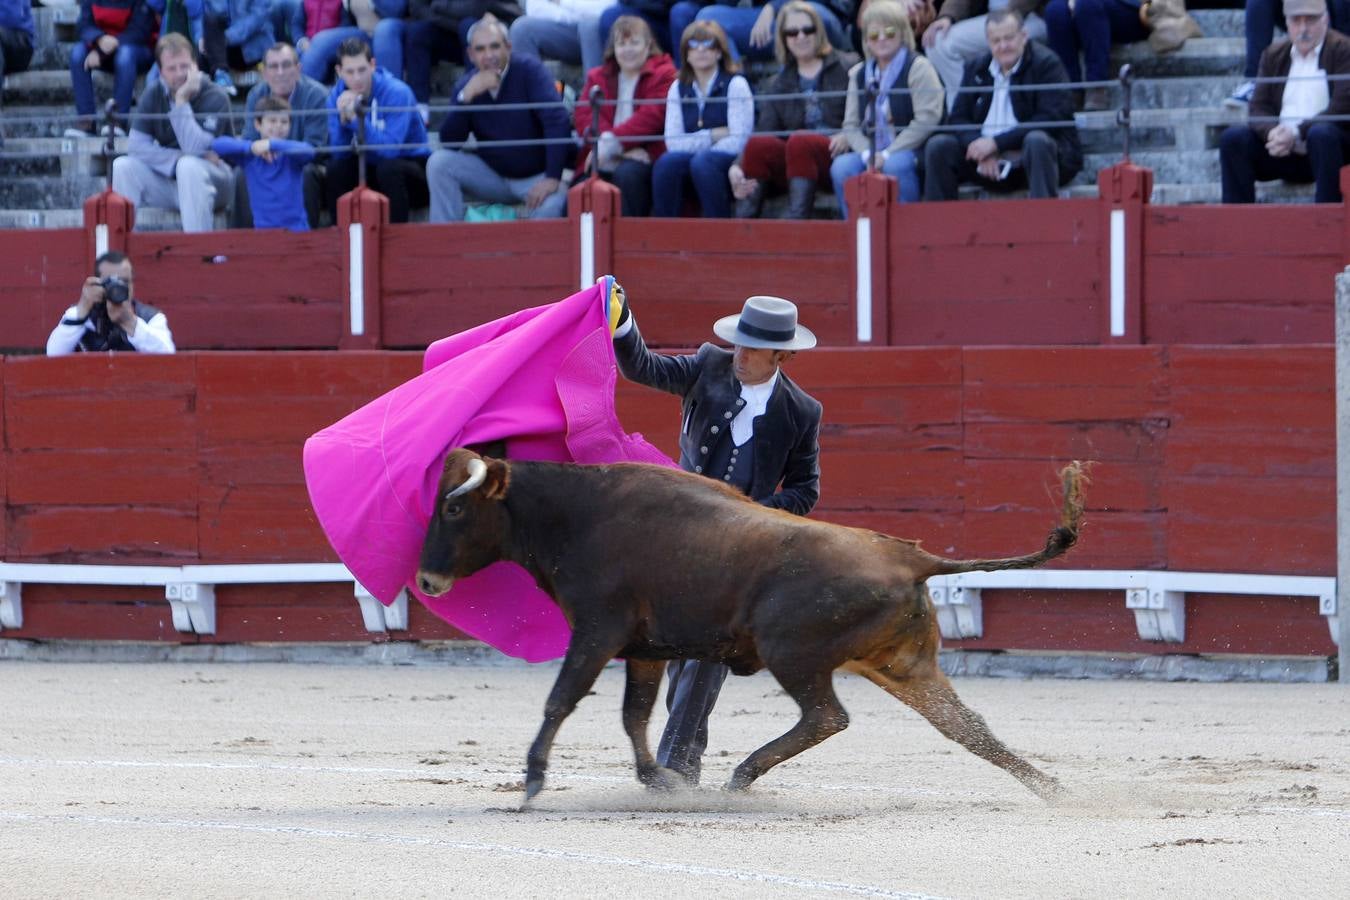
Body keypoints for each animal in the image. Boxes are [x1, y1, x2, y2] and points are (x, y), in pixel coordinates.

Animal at [413, 450, 1085, 804]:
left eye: (454, 506)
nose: (424, 579)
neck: (576, 514)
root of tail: (914, 558)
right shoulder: (644, 648)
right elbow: (634, 714)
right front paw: (658, 780)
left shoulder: (598, 633)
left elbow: (562, 700)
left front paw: (532, 781)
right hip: (904, 665)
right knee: (966, 728)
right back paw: (1055, 790)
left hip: (794, 654)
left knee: (828, 716)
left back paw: (742, 775)